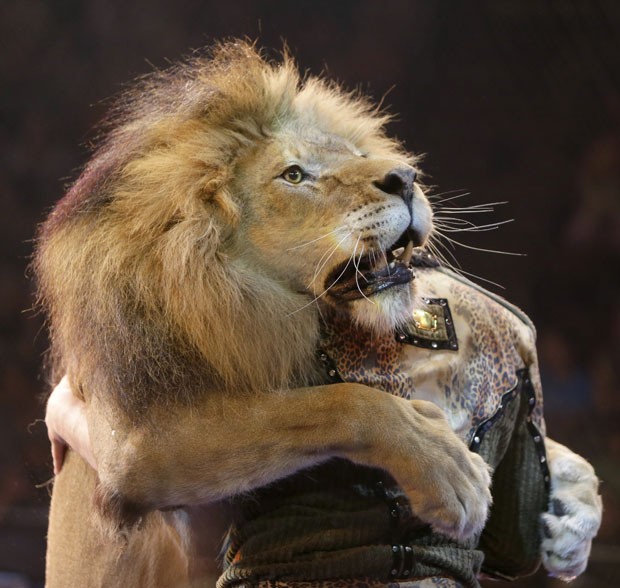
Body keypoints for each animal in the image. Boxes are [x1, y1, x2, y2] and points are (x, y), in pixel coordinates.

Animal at [36, 42, 600, 588]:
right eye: (294, 175)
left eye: (355, 155)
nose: (406, 178)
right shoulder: (141, 444)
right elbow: (335, 402)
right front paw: (445, 464)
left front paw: (576, 513)